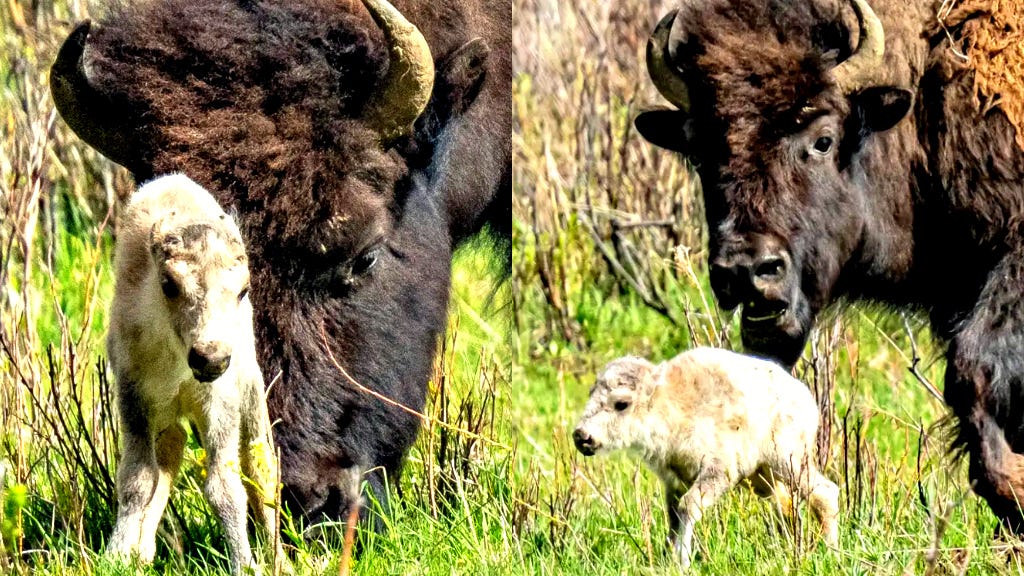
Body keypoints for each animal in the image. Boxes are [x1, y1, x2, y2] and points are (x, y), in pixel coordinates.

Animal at [107, 172, 280, 569]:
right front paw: (118, 555)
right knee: (171, 448)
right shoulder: (134, 397)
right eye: (169, 284)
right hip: (167, 413)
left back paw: (283, 559)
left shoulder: (220, 403)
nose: (211, 358)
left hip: (252, 394)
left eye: (243, 290)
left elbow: (225, 486)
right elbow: (139, 478)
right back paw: (143, 550)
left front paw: (245, 564)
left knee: (260, 465)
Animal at [573, 344, 835, 565]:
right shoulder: (674, 481)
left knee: (825, 493)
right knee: (786, 504)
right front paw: (668, 557)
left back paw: (828, 549)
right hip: (763, 476)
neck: (670, 404)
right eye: (591, 393)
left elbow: (688, 507)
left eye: (621, 404)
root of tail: (806, 399)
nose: (581, 436)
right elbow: (673, 516)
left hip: (789, 461)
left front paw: (682, 560)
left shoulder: (717, 470)